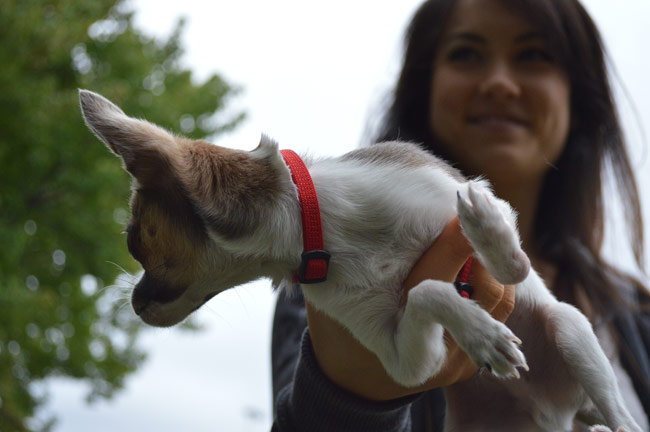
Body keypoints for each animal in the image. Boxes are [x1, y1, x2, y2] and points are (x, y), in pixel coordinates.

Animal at [79, 89, 636, 430]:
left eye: (134, 242)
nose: (134, 303)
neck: (322, 235)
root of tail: (563, 413)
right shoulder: (409, 362)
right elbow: (426, 290)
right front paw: (481, 332)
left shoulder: (476, 204)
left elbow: (513, 265)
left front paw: (484, 232)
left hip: (571, 329)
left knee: (618, 412)